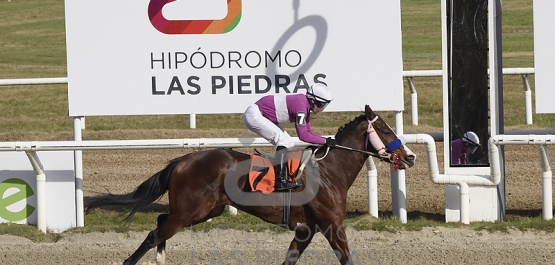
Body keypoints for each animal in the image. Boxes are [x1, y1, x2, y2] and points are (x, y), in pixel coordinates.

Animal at [87, 104, 416, 262]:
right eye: (386, 130)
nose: (410, 156)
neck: (329, 171)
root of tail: (182, 160)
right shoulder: (331, 225)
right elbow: (346, 258)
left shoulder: (307, 229)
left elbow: (290, 259)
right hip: (190, 211)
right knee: (153, 235)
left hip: (203, 211)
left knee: (159, 224)